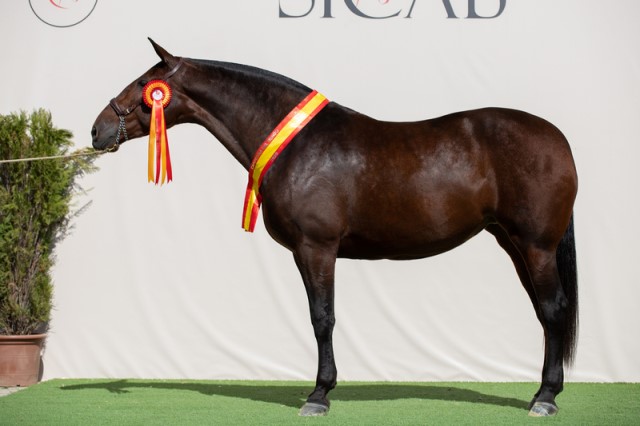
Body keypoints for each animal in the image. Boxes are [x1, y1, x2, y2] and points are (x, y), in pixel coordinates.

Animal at [91, 39, 578, 417]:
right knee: (544, 313)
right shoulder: (308, 251)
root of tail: (556, 138)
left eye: (144, 84)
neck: (301, 146)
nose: (98, 130)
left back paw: (545, 398)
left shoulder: (316, 248)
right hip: (514, 244)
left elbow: (321, 317)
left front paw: (319, 394)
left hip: (536, 245)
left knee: (553, 310)